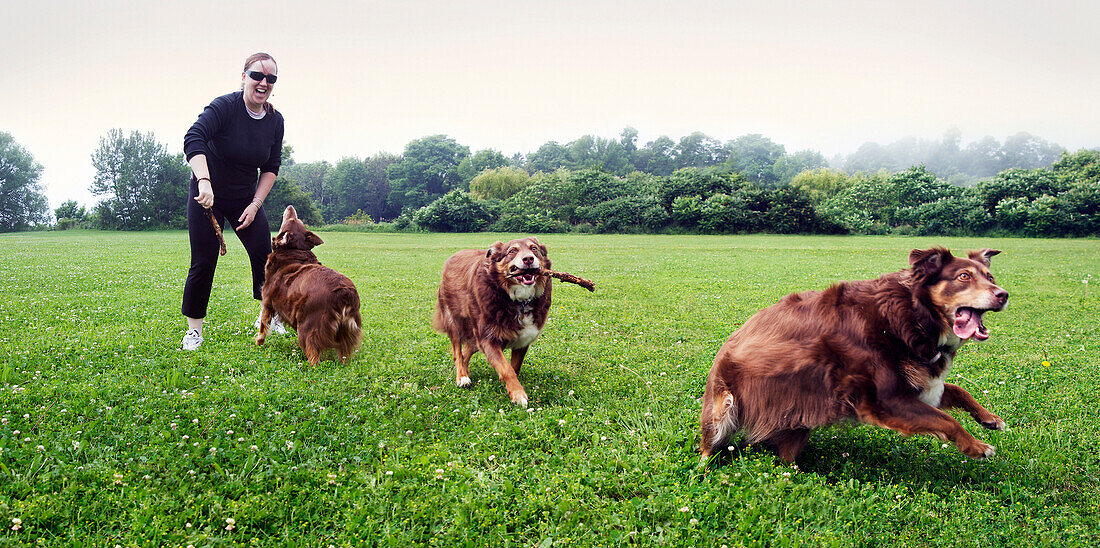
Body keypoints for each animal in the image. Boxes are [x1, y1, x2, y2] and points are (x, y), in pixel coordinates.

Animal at [255, 205, 363, 363]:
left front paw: (258, 343)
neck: (294, 251)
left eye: (292, 220)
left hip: (307, 327)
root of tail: (345, 292)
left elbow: (263, 327)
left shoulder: (268, 303)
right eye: (298, 220)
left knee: (313, 356)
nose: (290, 206)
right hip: (345, 333)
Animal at [433, 235, 554, 407]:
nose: (528, 259)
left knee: (466, 351)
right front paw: (518, 395)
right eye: (512, 251)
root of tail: (453, 256)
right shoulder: (488, 339)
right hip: (454, 321)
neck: (518, 300)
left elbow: (514, 367)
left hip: (475, 335)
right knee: (457, 353)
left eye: (534, 248)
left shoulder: (523, 339)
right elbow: (507, 369)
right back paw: (462, 377)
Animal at [699, 248, 1007, 462]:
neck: (910, 316)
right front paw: (977, 446)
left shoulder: (920, 386)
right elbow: (946, 420)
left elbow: (957, 390)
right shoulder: (886, 401)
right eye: (964, 277)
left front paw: (990, 418)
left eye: (990, 277)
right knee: (711, 446)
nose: (1003, 294)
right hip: (725, 405)